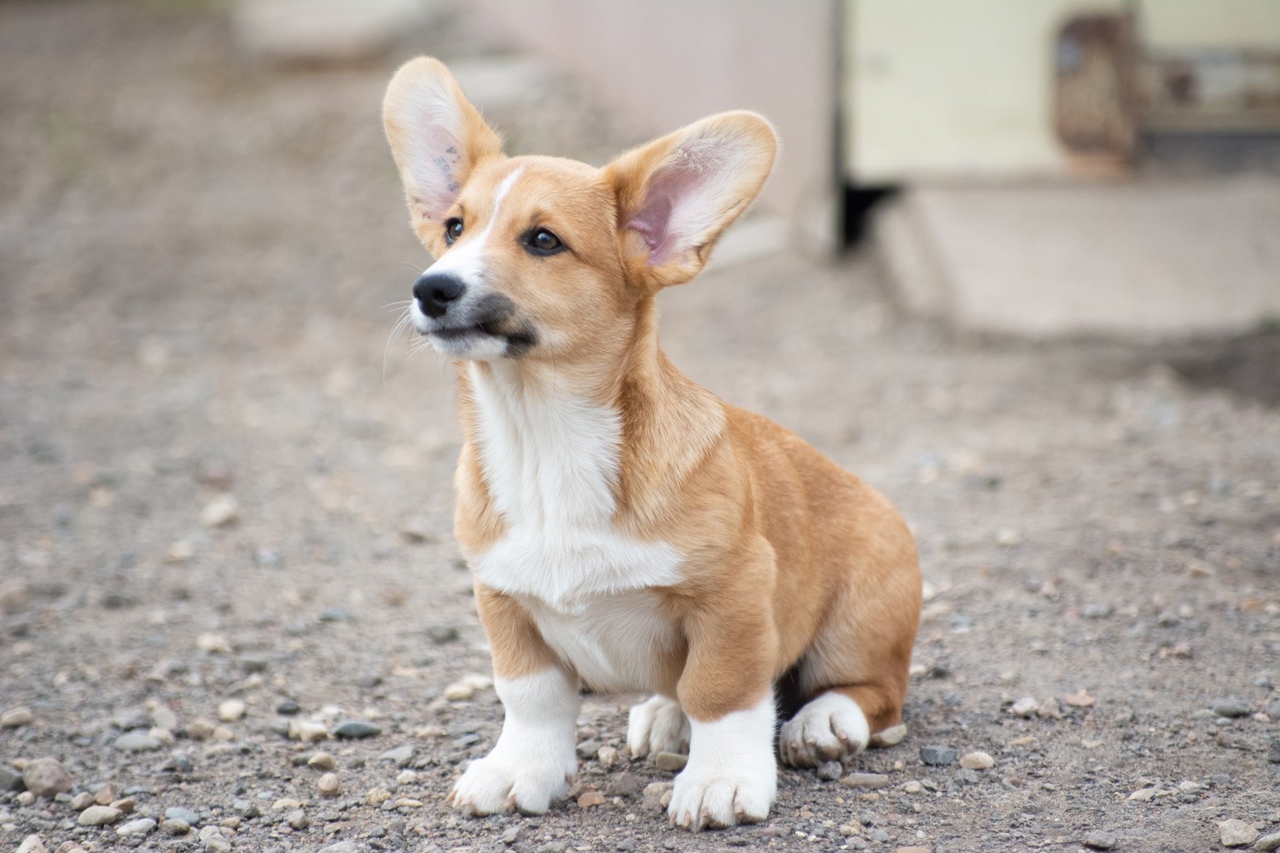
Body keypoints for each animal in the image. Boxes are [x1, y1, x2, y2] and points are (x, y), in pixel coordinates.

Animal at [378, 56, 921, 824]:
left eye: (542, 240)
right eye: (455, 226)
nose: (431, 288)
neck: (544, 438)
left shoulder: (733, 594)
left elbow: (723, 690)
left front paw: (721, 780)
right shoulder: (503, 601)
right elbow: (531, 698)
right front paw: (520, 769)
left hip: (863, 614)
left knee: (874, 692)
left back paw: (823, 720)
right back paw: (666, 716)